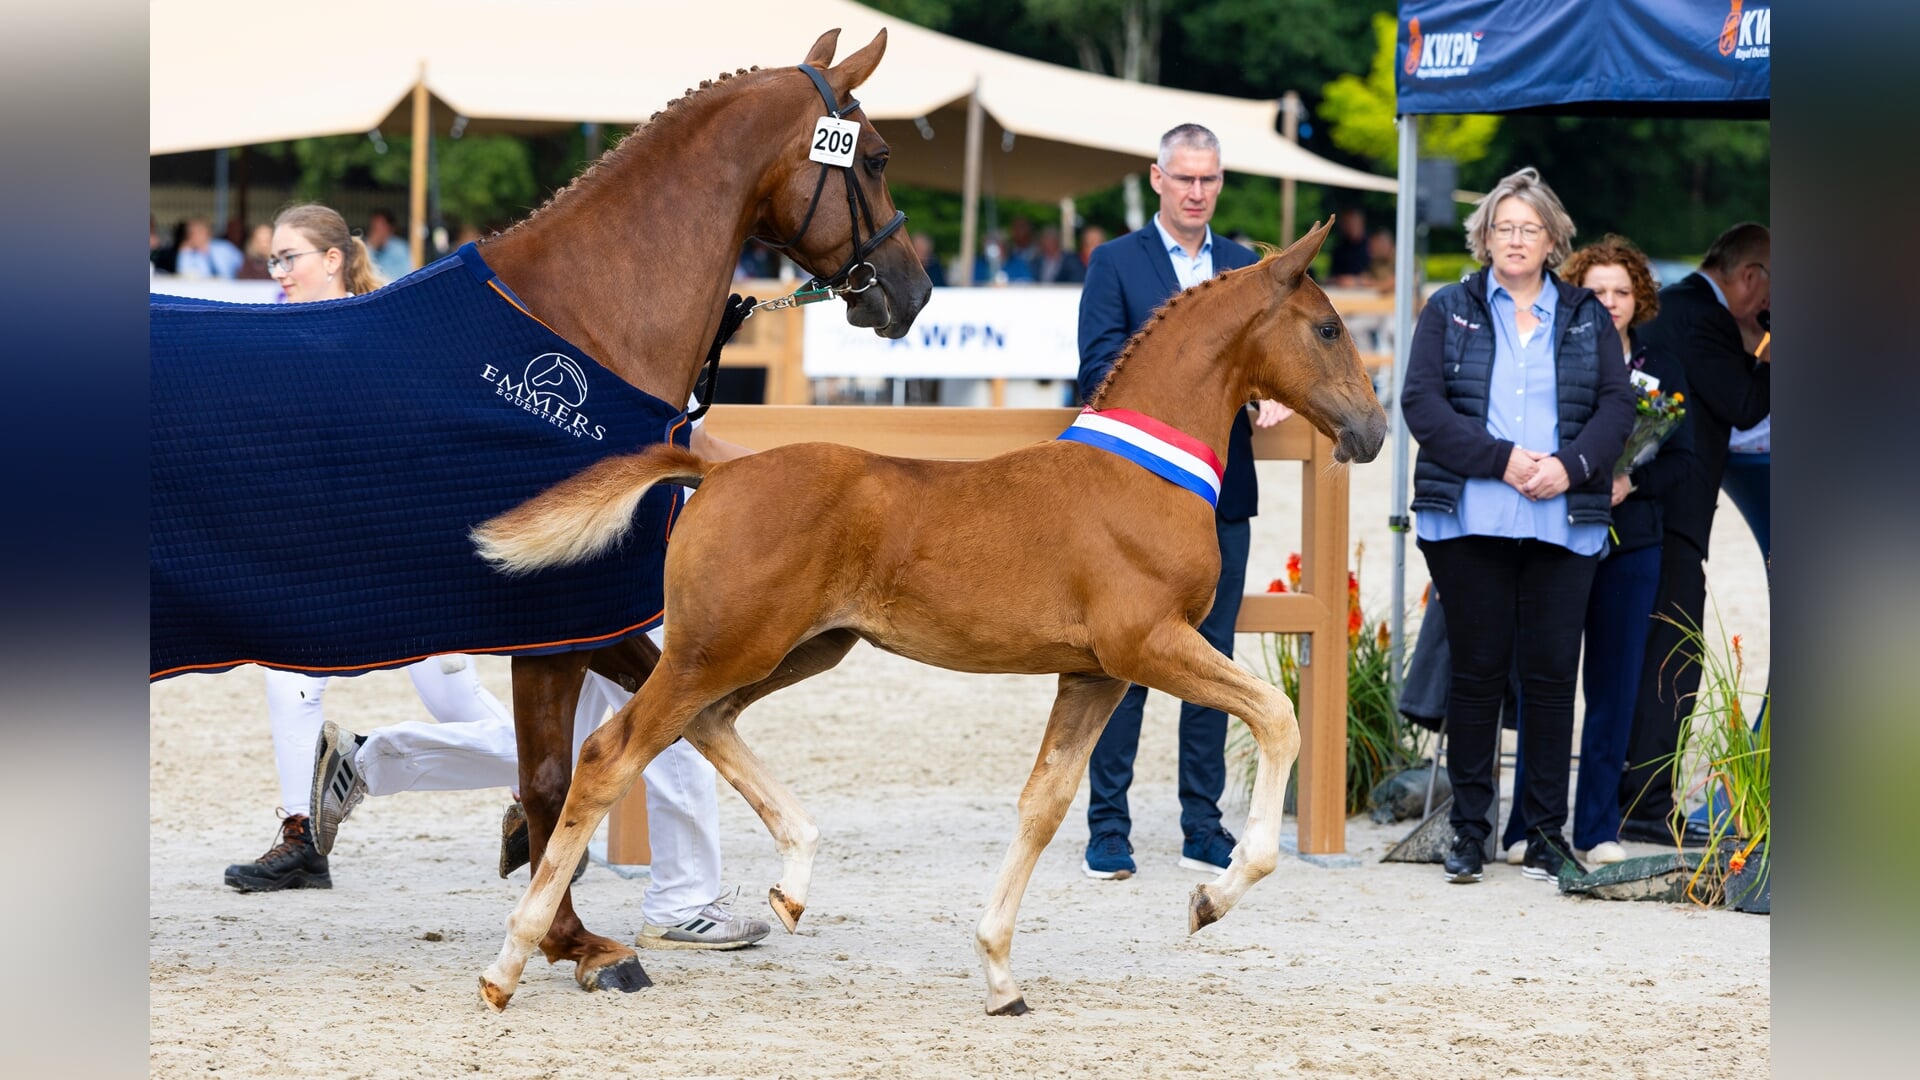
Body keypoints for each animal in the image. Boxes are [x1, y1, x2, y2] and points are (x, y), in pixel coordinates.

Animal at [467, 219, 1390, 1014]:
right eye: (1328, 328)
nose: (1374, 431)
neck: (1145, 473)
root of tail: (716, 472)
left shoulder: (1093, 674)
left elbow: (1044, 805)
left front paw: (1000, 976)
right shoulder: (1149, 646)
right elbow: (1277, 716)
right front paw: (1211, 896)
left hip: (796, 650)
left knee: (707, 725)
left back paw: (793, 880)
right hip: (720, 648)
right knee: (609, 755)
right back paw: (513, 962)